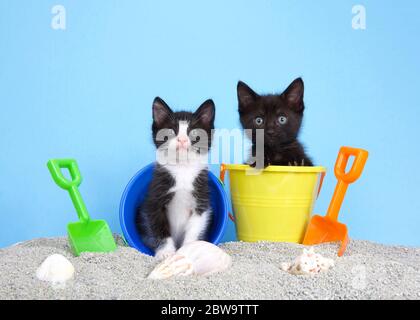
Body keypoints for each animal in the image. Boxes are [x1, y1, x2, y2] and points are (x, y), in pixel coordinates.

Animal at [136, 97, 215, 260]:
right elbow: (158, 227)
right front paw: (165, 252)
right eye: (171, 131)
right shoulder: (153, 201)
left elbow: (194, 228)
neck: (182, 170)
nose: (182, 140)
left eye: (194, 133)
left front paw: (189, 249)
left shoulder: (201, 201)